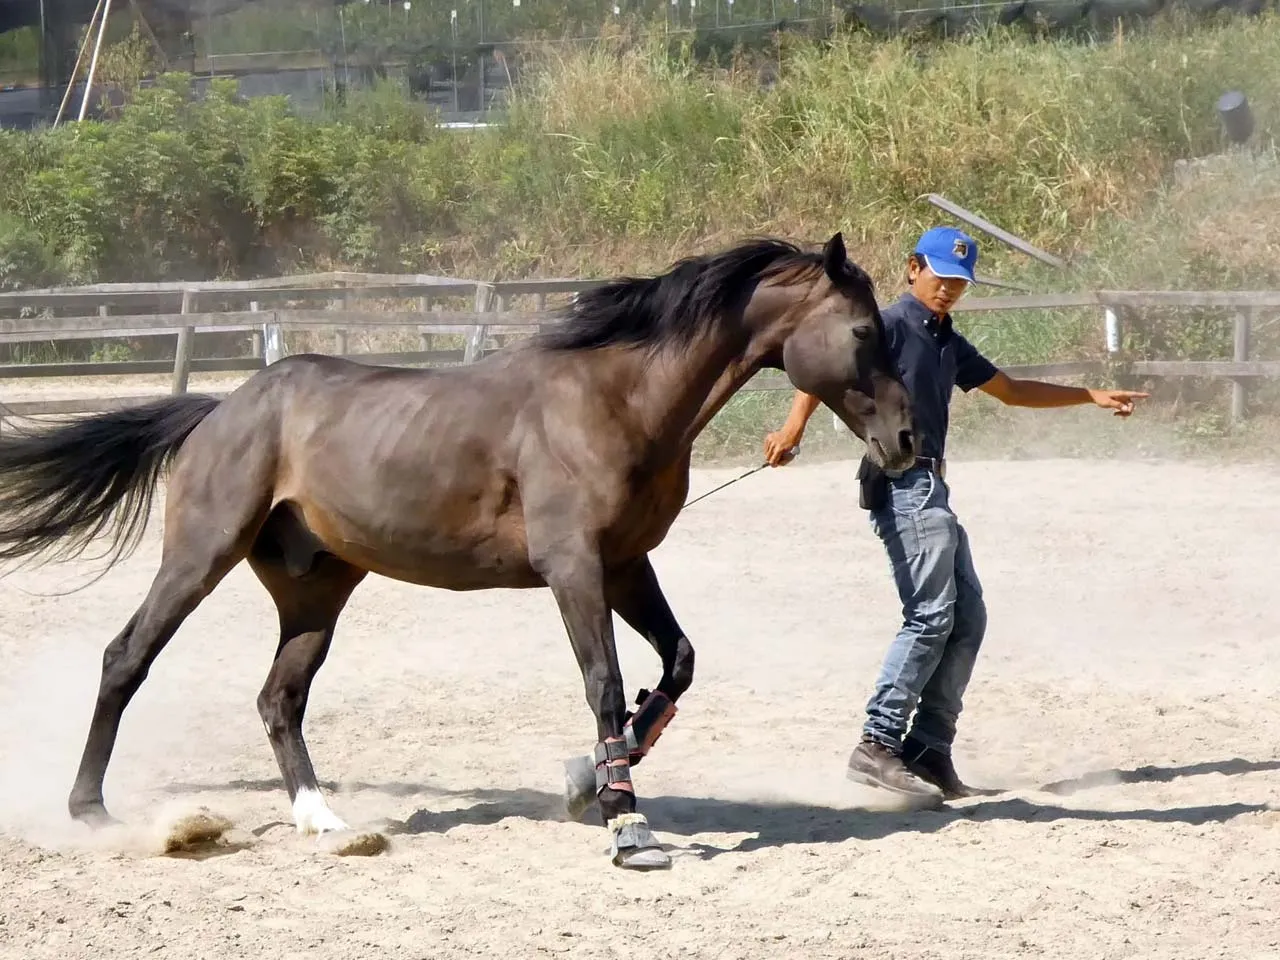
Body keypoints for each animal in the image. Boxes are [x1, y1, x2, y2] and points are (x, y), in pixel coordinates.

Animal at [0, 232, 915, 870]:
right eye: (864, 332)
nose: (908, 441)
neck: (616, 400)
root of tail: (220, 409)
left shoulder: (627, 564)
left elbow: (677, 665)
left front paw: (592, 777)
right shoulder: (575, 569)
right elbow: (604, 683)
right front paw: (626, 821)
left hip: (316, 592)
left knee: (278, 699)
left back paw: (324, 820)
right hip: (200, 555)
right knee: (127, 657)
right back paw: (93, 811)